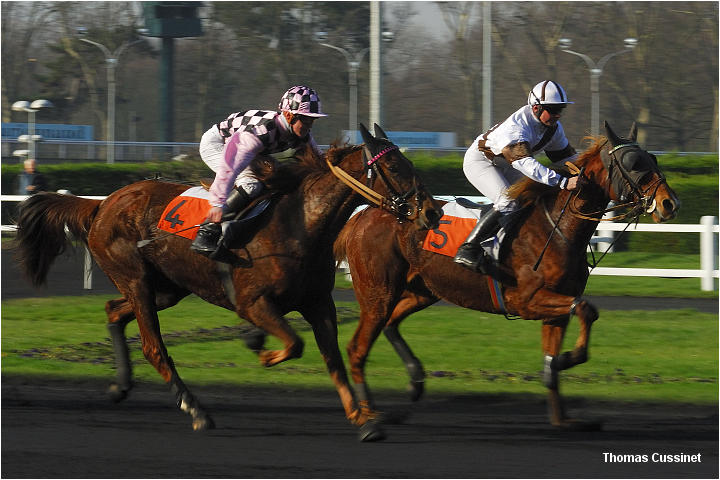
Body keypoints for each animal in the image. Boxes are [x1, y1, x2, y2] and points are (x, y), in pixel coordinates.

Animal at [15, 124, 444, 442]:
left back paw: (121, 386)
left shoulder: (319, 304)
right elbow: (294, 344)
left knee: (113, 311)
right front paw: (260, 349)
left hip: (167, 287)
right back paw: (196, 411)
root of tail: (102, 205)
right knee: (154, 348)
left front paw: (364, 419)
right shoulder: (254, 302)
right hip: (136, 279)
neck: (299, 223)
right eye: (396, 168)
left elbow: (333, 359)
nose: (432, 211)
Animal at [332, 122, 680, 430]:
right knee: (360, 344)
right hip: (379, 293)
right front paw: (567, 359)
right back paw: (371, 413)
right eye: (633, 163)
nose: (669, 203)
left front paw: (563, 412)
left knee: (392, 323)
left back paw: (415, 380)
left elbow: (561, 347)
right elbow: (585, 308)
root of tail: (363, 215)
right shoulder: (526, 300)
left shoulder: (555, 309)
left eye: (653, 158)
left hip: (423, 290)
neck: (557, 228)